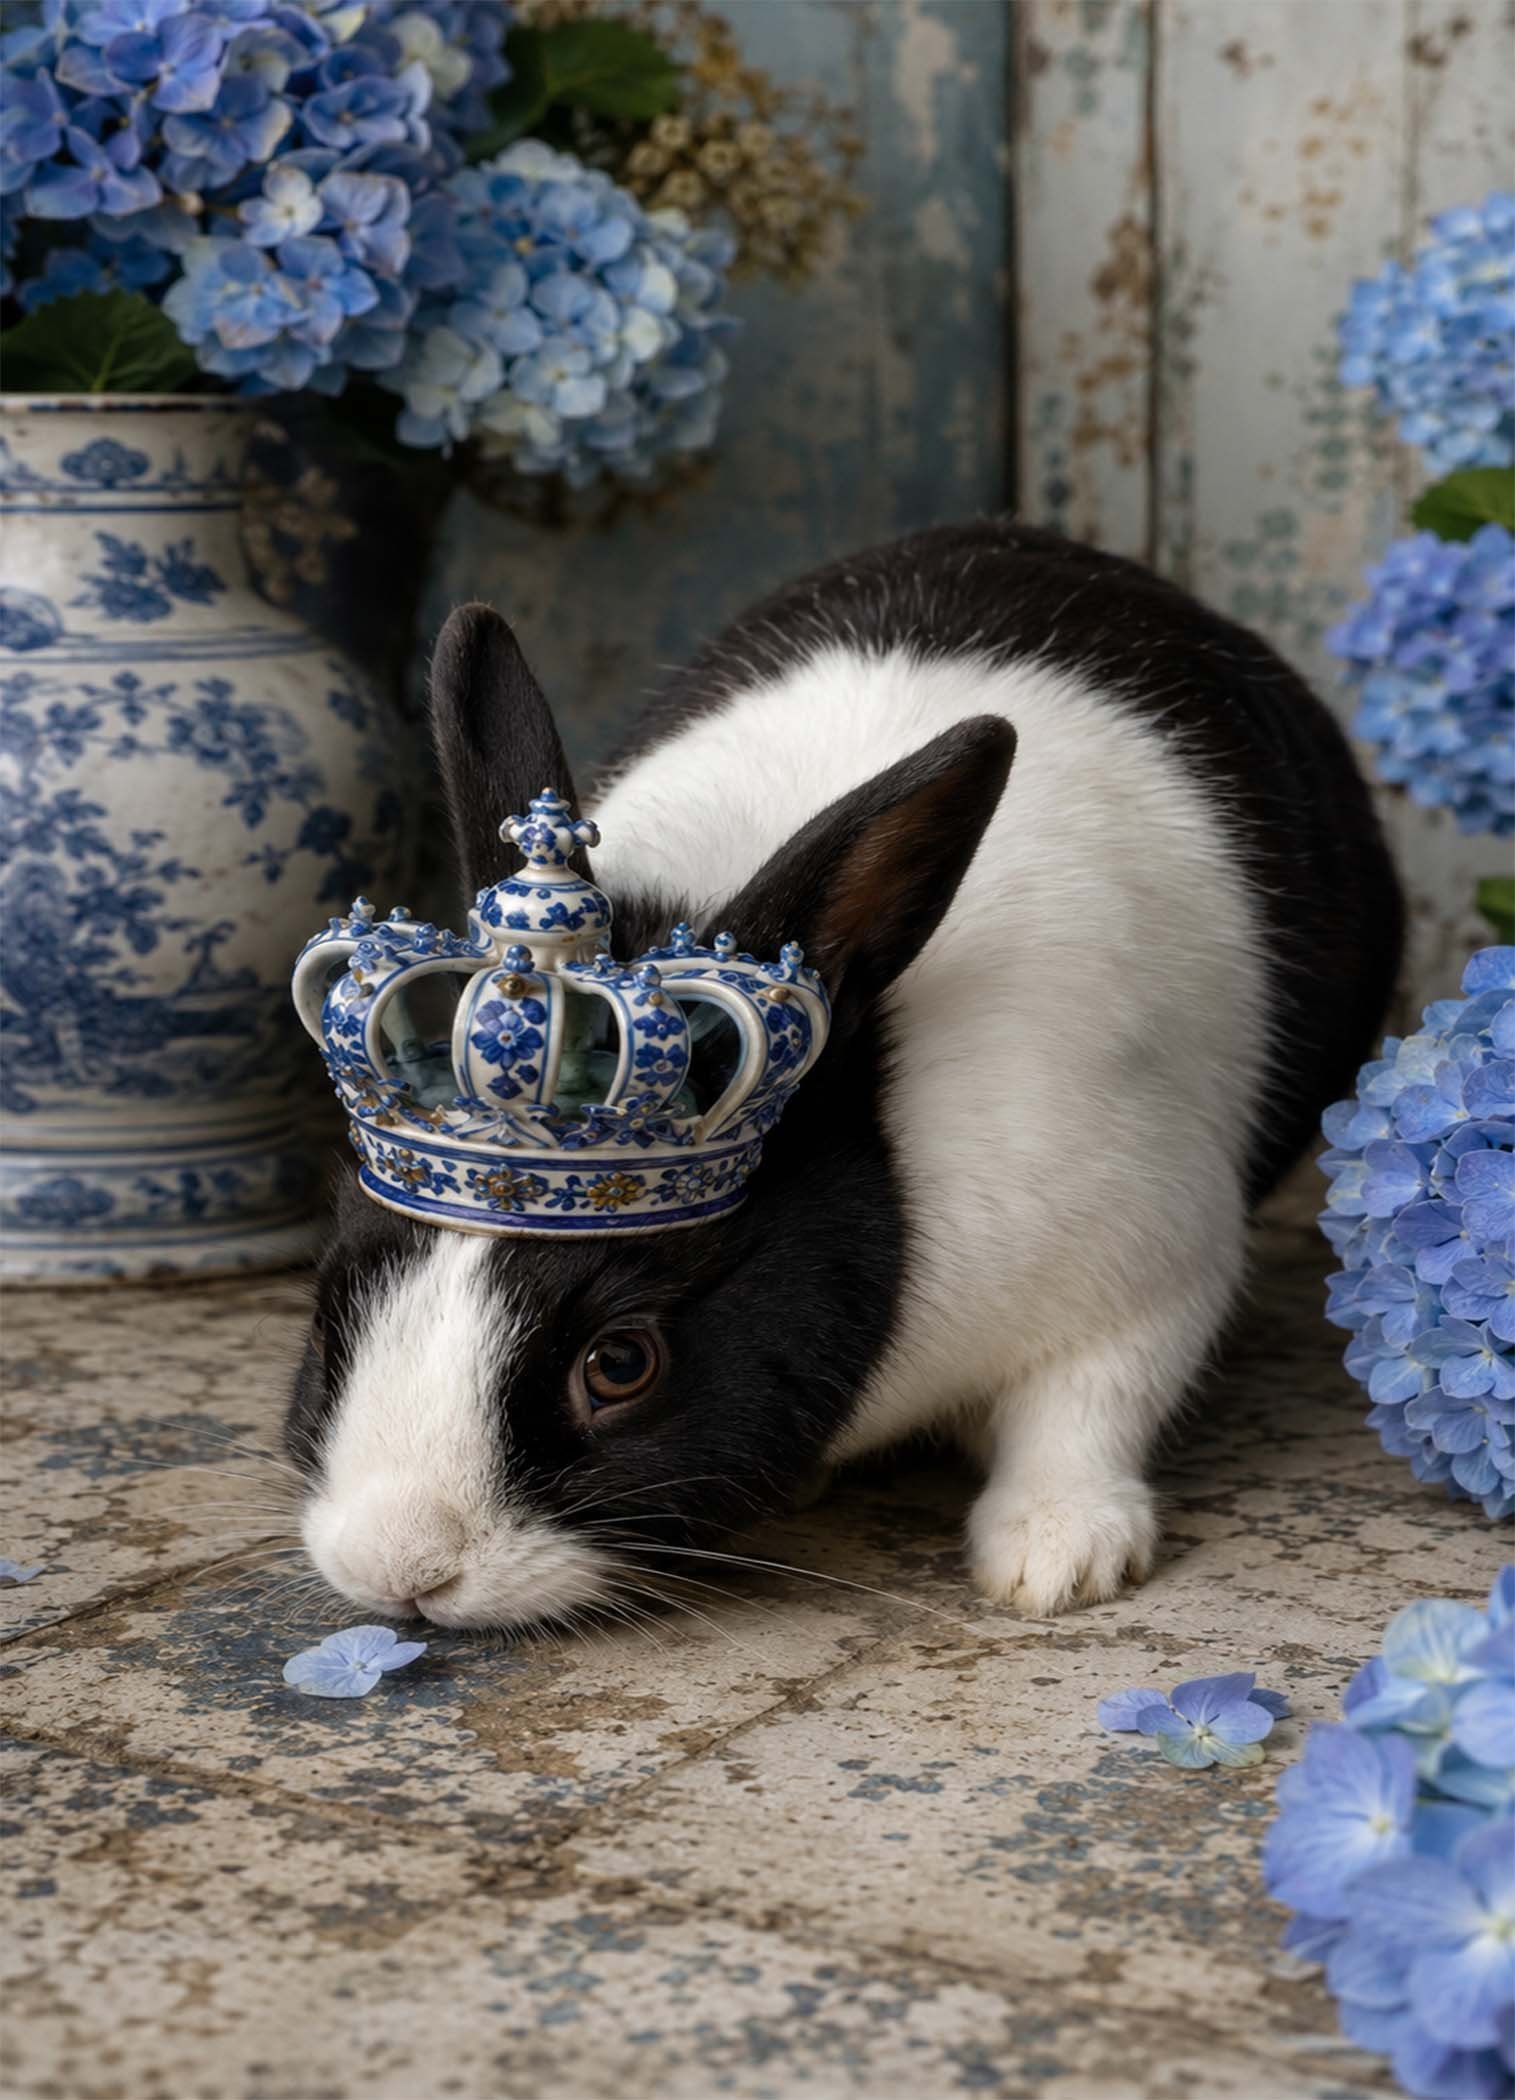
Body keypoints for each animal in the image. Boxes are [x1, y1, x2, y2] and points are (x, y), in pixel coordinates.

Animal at [284, 518, 1403, 1633]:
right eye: (333, 1305)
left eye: (621, 1363)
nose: (401, 1567)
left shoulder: (1150, 1261)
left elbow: (1088, 1409)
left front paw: (1053, 1557)